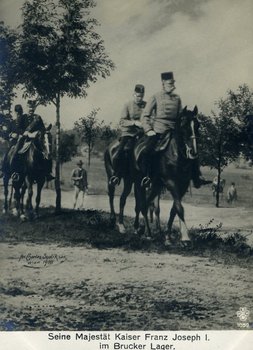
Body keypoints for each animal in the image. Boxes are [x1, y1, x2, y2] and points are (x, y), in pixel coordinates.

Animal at [133, 105, 201, 245]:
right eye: (184, 125)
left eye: (198, 125)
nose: (193, 152)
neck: (176, 155)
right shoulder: (171, 182)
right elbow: (179, 208)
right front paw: (185, 237)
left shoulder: (183, 185)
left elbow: (174, 210)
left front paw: (168, 236)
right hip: (139, 183)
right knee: (142, 205)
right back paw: (144, 231)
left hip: (156, 186)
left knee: (146, 204)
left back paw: (146, 231)